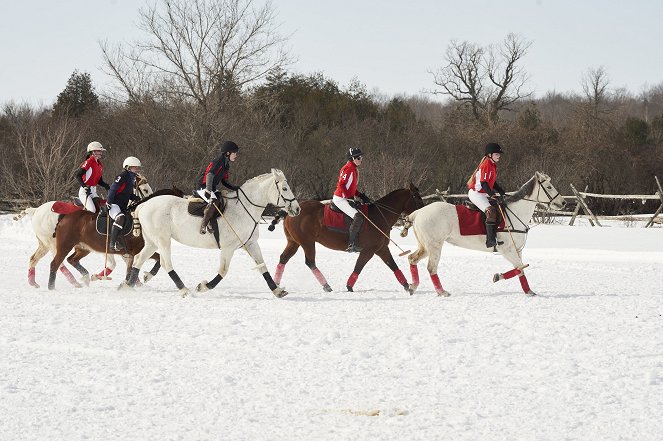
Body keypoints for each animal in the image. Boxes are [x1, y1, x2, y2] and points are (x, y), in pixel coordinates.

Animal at [16, 175, 156, 288]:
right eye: (145, 189)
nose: (151, 202)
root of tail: (37, 210)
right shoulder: (107, 246)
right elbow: (113, 264)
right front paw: (99, 276)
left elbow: (129, 262)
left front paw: (134, 281)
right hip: (54, 243)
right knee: (58, 262)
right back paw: (74, 282)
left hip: (44, 243)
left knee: (34, 258)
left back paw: (33, 282)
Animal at [45, 186, 184, 288]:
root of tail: (64, 217)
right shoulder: (137, 251)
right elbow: (154, 260)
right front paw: (143, 278)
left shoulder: (133, 253)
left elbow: (141, 266)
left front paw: (136, 280)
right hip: (65, 245)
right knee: (55, 264)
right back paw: (51, 287)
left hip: (84, 248)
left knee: (72, 260)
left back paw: (85, 277)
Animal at [120, 168, 302, 296]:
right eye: (285, 188)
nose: (297, 209)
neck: (244, 209)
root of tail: (143, 205)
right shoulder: (228, 248)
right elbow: (223, 271)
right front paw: (203, 286)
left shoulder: (251, 243)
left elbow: (262, 266)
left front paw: (278, 291)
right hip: (162, 239)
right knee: (166, 263)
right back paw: (184, 290)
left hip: (152, 241)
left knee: (138, 259)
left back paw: (127, 285)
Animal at [272, 182, 428, 292]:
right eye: (417, 197)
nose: (423, 212)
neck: (379, 216)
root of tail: (289, 212)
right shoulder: (368, 250)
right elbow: (359, 266)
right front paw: (349, 286)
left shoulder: (381, 248)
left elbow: (393, 266)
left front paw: (408, 286)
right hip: (307, 242)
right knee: (310, 262)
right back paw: (327, 286)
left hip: (294, 242)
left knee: (283, 258)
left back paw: (276, 284)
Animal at [402, 172, 568, 296]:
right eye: (549, 187)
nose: (563, 203)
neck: (514, 214)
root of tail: (417, 213)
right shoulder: (506, 250)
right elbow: (520, 267)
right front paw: (503, 279)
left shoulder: (517, 250)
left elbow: (520, 268)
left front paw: (525, 289)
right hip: (435, 245)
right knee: (431, 267)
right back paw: (442, 292)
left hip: (425, 246)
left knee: (412, 259)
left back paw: (412, 286)